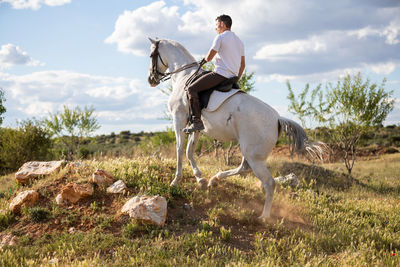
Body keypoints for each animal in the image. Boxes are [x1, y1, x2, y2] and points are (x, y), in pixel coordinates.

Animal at [147, 38, 316, 221]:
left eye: (151, 55)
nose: (151, 79)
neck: (184, 76)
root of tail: (278, 119)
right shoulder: (196, 127)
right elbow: (189, 151)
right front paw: (200, 179)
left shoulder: (178, 119)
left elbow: (179, 150)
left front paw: (175, 182)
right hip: (249, 151)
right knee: (244, 168)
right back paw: (214, 179)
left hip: (254, 156)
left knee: (269, 182)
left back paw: (264, 217)